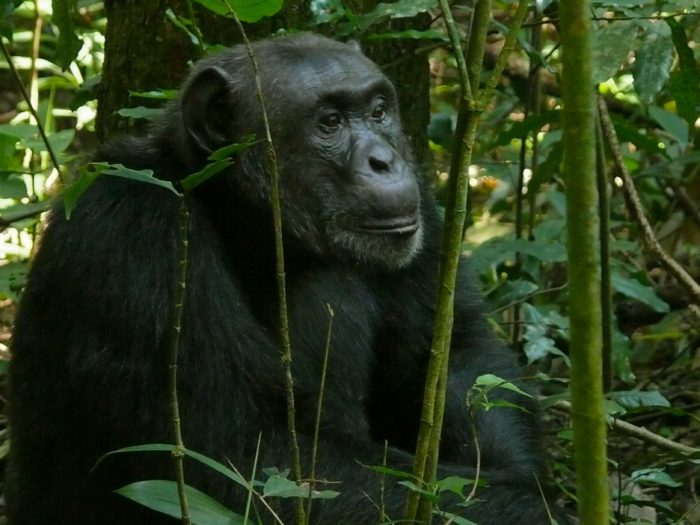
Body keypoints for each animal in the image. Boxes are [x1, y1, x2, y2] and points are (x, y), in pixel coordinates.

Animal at [6, 33, 564, 524]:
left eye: (378, 111)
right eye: (330, 122)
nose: (384, 159)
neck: (243, 220)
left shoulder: (422, 208)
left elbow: (455, 357)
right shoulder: (133, 234)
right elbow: (253, 458)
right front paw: (542, 512)